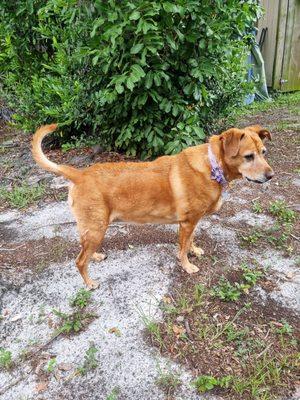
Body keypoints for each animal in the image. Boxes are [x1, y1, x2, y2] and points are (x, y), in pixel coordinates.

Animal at [32, 124, 274, 288]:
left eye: (264, 153)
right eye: (248, 156)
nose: (271, 176)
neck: (212, 165)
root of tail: (79, 174)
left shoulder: (191, 222)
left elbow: (191, 241)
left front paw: (194, 251)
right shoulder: (187, 223)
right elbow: (182, 249)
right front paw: (187, 265)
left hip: (91, 229)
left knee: (84, 250)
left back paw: (96, 256)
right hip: (97, 229)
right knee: (80, 261)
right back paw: (90, 283)